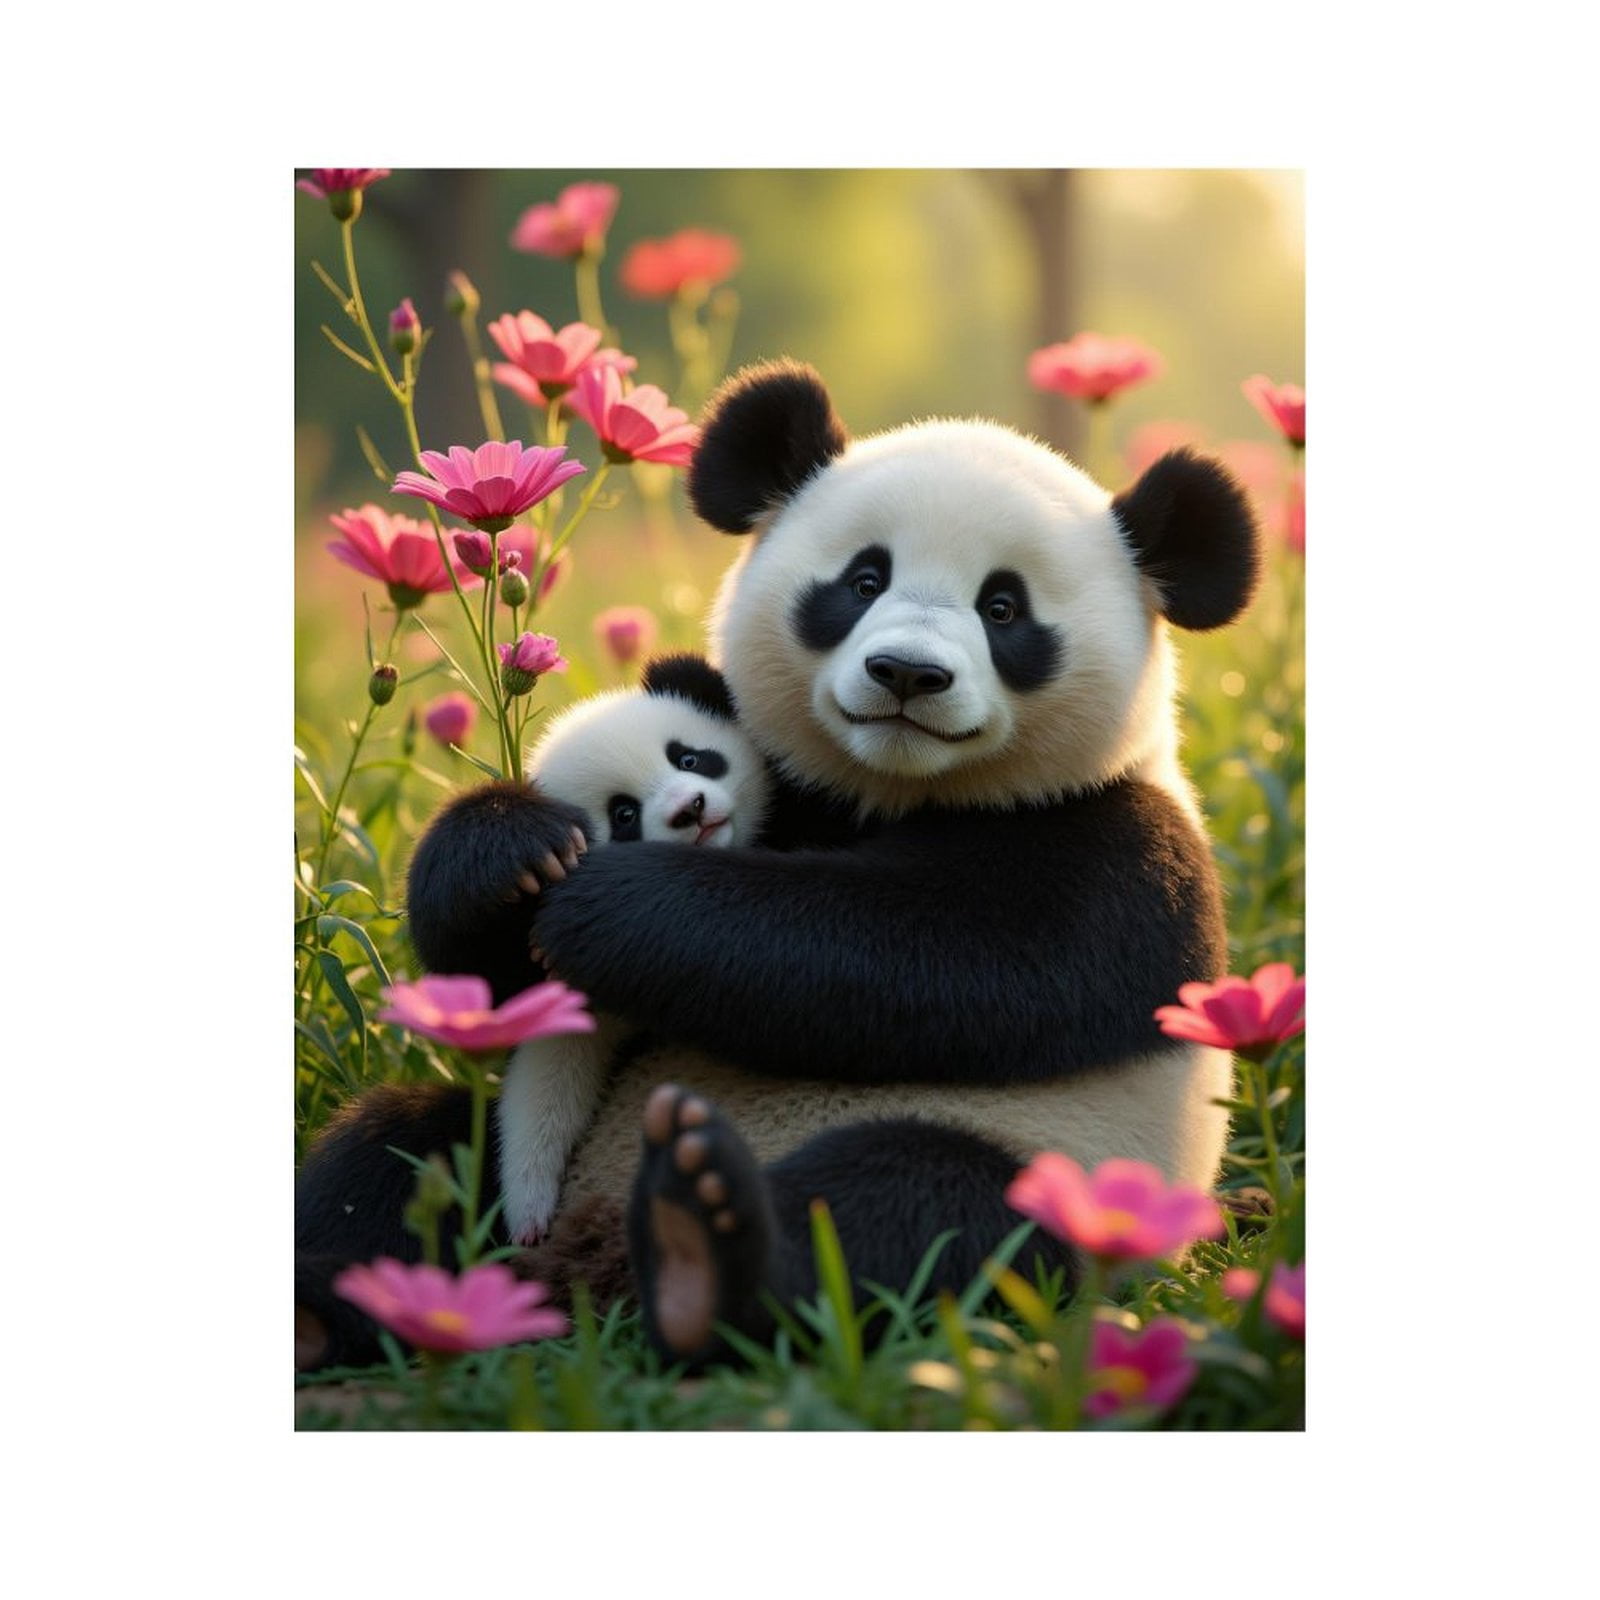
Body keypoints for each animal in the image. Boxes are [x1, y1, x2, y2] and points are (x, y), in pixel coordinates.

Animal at [497, 654, 772, 1246]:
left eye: (689, 756)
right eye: (623, 814)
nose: (691, 808)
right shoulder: (588, 974)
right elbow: (552, 1063)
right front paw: (529, 1213)